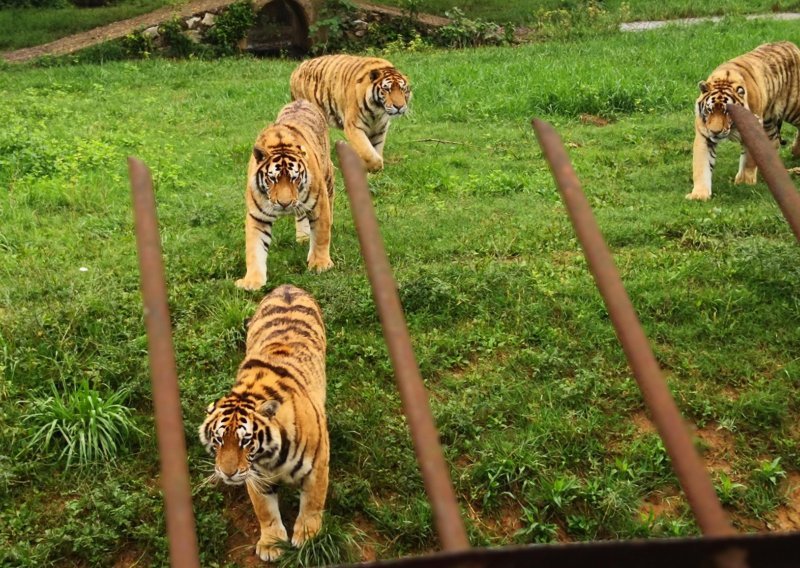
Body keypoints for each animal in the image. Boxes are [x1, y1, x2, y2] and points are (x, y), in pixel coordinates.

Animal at [199, 286, 328, 560]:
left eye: (245, 440)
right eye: (218, 439)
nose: (227, 473)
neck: (272, 457)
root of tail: (287, 286)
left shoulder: (318, 465)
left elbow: (313, 502)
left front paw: (308, 537)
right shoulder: (255, 474)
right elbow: (265, 510)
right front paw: (271, 543)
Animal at [238, 99, 338, 290]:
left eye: (294, 178)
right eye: (272, 178)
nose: (284, 204)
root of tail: (301, 100)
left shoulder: (319, 204)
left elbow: (321, 235)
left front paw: (320, 264)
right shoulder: (257, 216)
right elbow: (254, 248)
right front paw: (252, 281)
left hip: (328, 176)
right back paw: (303, 237)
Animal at [688, 40, 800, 200]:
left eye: (727, 112)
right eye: (709, 110)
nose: (715, 132)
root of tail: (790, 43)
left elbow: (749, 160)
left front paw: (744, 182)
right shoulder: (704, 135)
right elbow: (701, 165)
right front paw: (699, 195)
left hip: (792, 107)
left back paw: (795, 151)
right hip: (769, 121)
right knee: (774, 142)